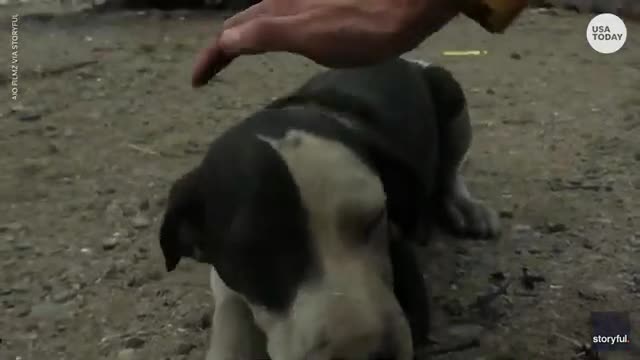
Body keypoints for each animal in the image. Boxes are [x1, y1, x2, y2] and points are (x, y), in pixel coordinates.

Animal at [160, 57, 500, 358]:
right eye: (252, 252)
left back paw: (466, 207)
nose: (363, 353)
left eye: (375, 218)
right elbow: (231, 311)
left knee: (451, 170)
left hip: (450, 95)